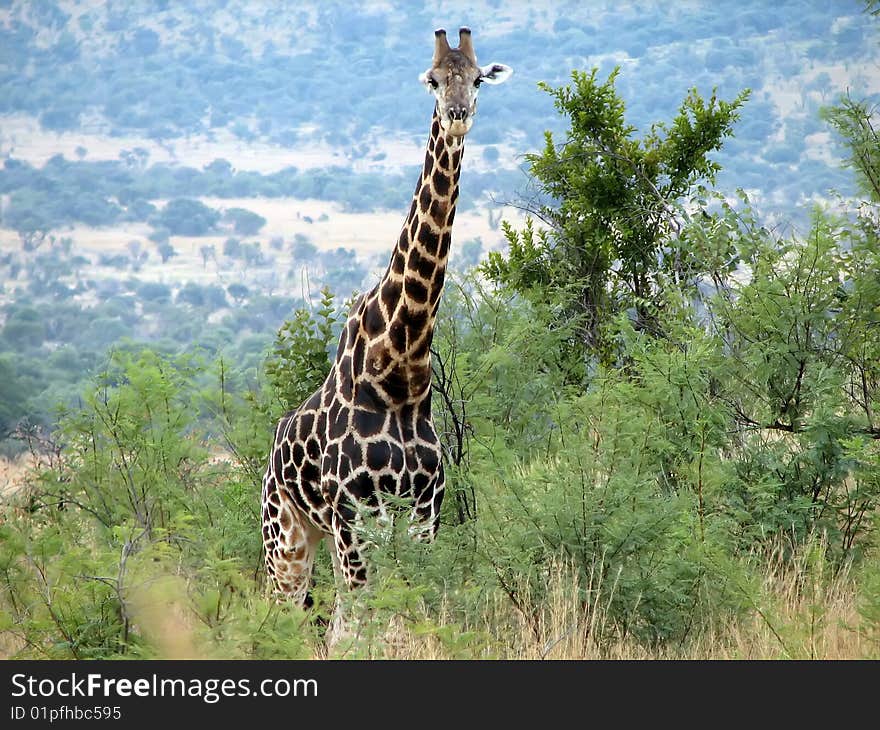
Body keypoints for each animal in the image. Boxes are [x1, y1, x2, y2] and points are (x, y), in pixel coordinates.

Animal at [258, 28, 512, 616]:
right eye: (434, 80)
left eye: (478, 79)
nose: (458, 115)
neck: (400, 366)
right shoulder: (353, 512)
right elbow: (363, 618)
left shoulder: (425, 511)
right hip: (287, 535)